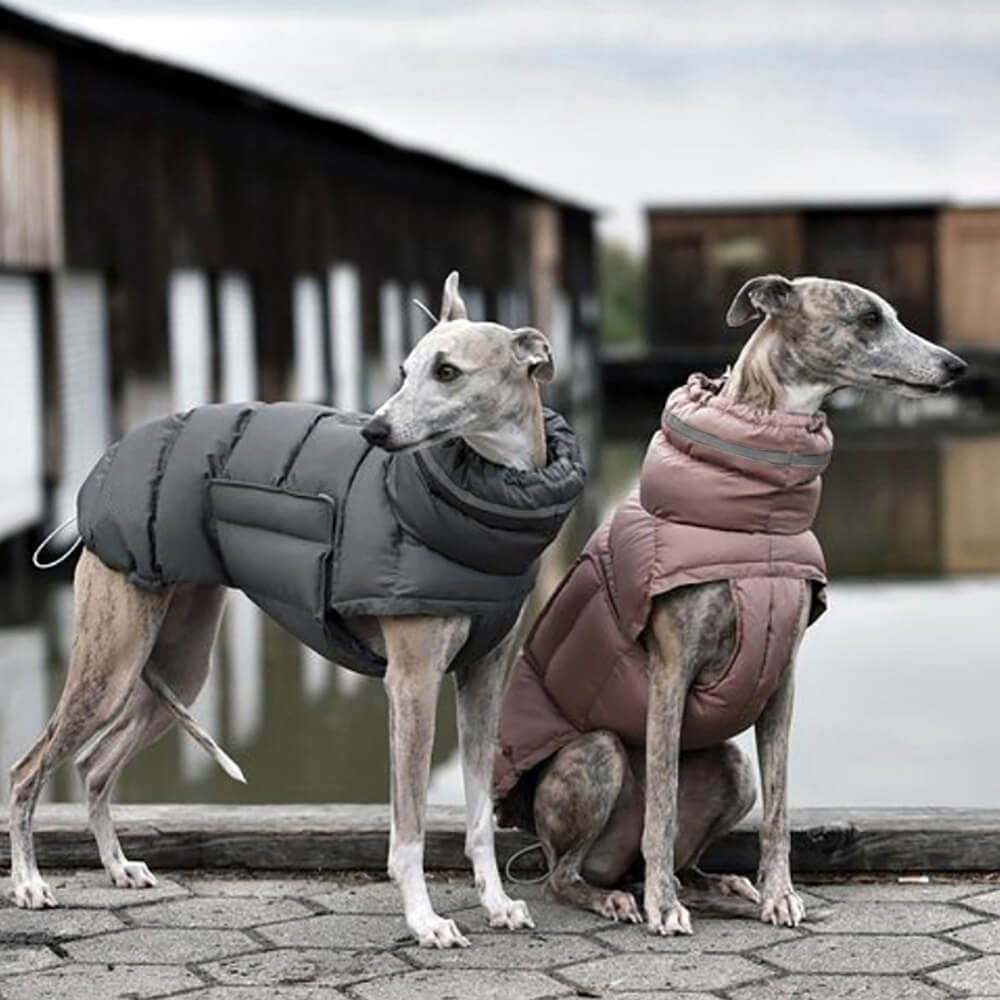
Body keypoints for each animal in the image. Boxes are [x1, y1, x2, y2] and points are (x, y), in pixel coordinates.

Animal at [7, 270, 584, 948]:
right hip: (112, 661)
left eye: (447, 371)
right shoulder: (411, 683)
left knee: (95, 764)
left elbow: (478, 815)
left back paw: (119, 866)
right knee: (28, 769)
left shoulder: (481, 677)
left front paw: (496, 903)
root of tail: (104, 465)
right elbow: (409, 826)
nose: (375, 433)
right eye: (403, 368)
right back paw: (28, 883)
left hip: (176, 665)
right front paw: (425, 921)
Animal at [496, 272, 964, 928]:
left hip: (733, 768)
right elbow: (662, 804)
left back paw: (721, 886)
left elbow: (780, 805)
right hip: (599, 753)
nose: (956, 366)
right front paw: (663, 909)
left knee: (685, 856)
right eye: (870, 318)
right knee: (567, 873)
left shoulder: (782, 679)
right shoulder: (670, 671)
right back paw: (622, 895)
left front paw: (779, 894)